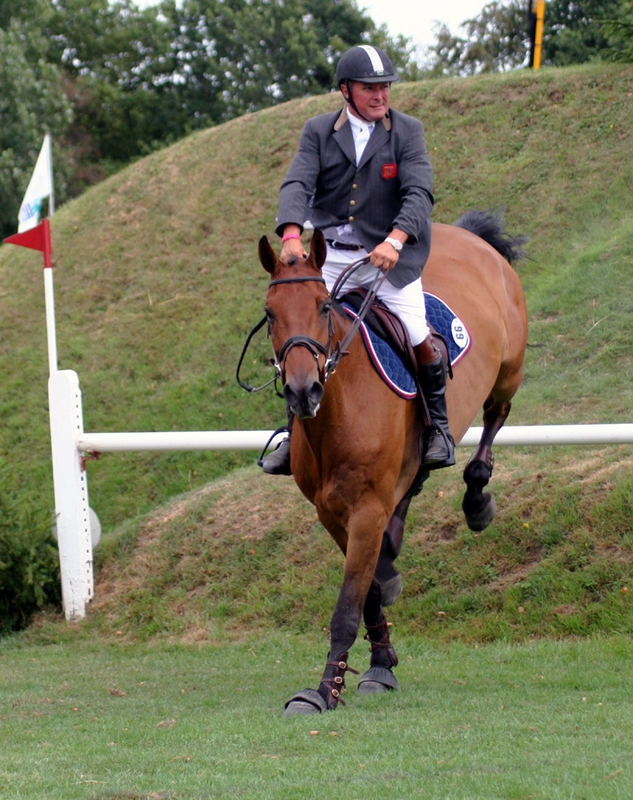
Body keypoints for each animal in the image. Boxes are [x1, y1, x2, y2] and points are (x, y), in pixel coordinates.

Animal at [258, 211, 528, 712]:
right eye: (270, 314)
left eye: (324, 307)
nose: (303, 392)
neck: (339, 411)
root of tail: (471, 237)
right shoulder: (331, 512)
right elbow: (369, 593)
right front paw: (381, 662)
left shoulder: (366, 508)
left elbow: (348, 605)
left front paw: (324, 690)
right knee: (415, 480)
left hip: (508, 372)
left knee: (493, 419)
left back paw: (476, 501)